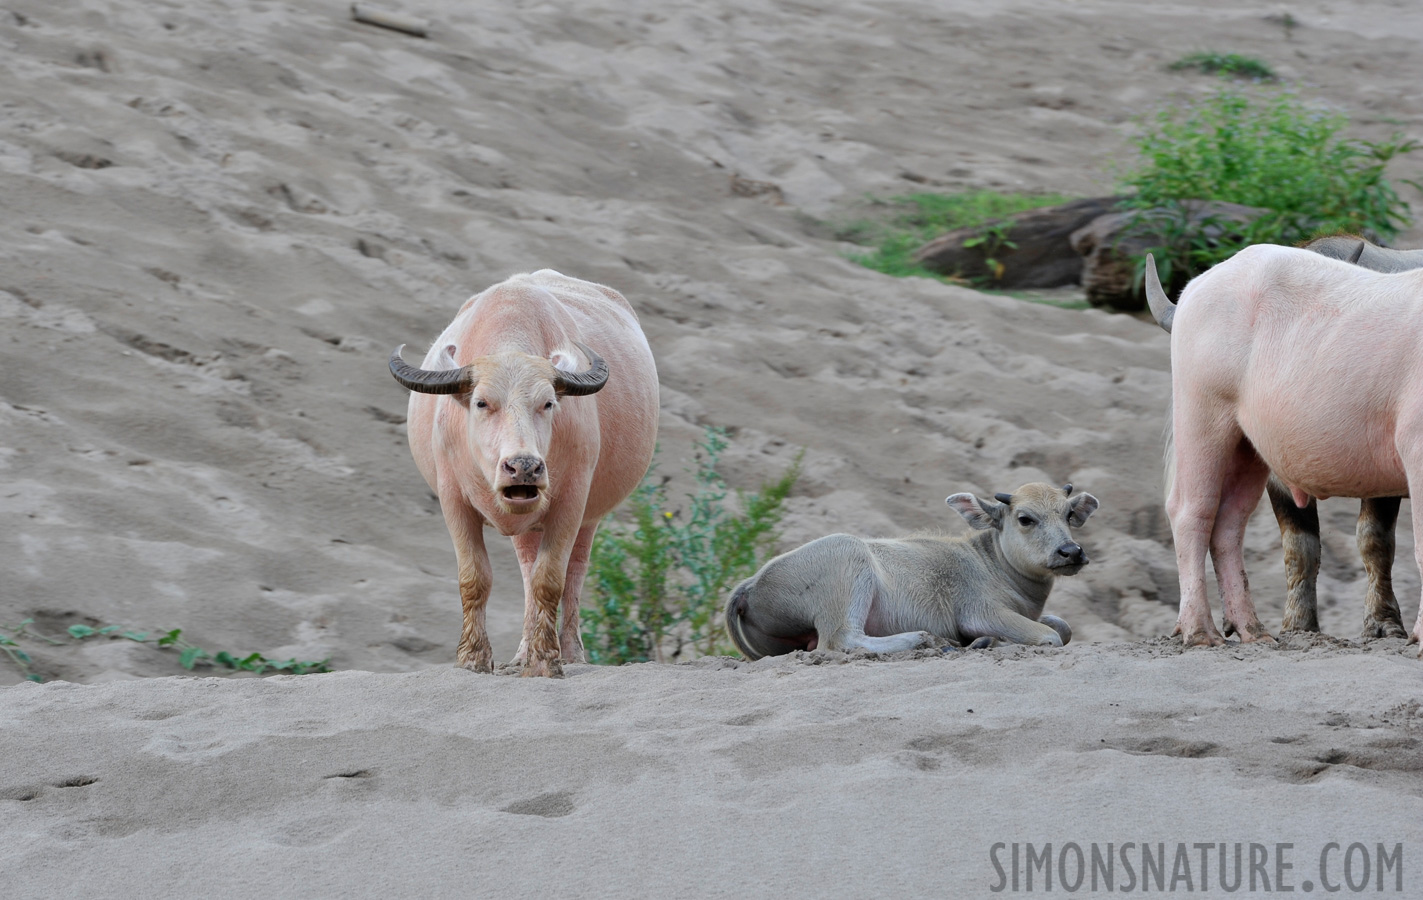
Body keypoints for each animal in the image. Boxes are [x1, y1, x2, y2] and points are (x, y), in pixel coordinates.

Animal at [389, 270, 654, 677]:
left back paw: (571, 653)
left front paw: (546, 661)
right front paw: (473, 658)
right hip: (527, 525)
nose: (524, 467)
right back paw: (521, 653)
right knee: (528, 570)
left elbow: (551, 580)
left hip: (589, 517)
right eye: (481, 402)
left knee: (574, 575)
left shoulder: (570, 502)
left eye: (549, 403)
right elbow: (475, 578)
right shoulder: (453, 501)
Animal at [728, 481, 1092, 657]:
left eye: (1068, 514)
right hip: (847, 566)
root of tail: (750, 583)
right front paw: (988, 642)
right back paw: (927, 641)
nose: (1071, 552)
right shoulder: (982, 613)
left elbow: (1062, 626)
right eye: (1025, 518)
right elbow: (1050, 636)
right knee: (840, 640)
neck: (991, 563)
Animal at [1144, 246, 1423, 655]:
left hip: (1248, 446)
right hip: (1201, 414)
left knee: (1229, 522)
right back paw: (1200, 631)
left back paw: (1251, 628)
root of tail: (1197, 286)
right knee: (1191, 511)